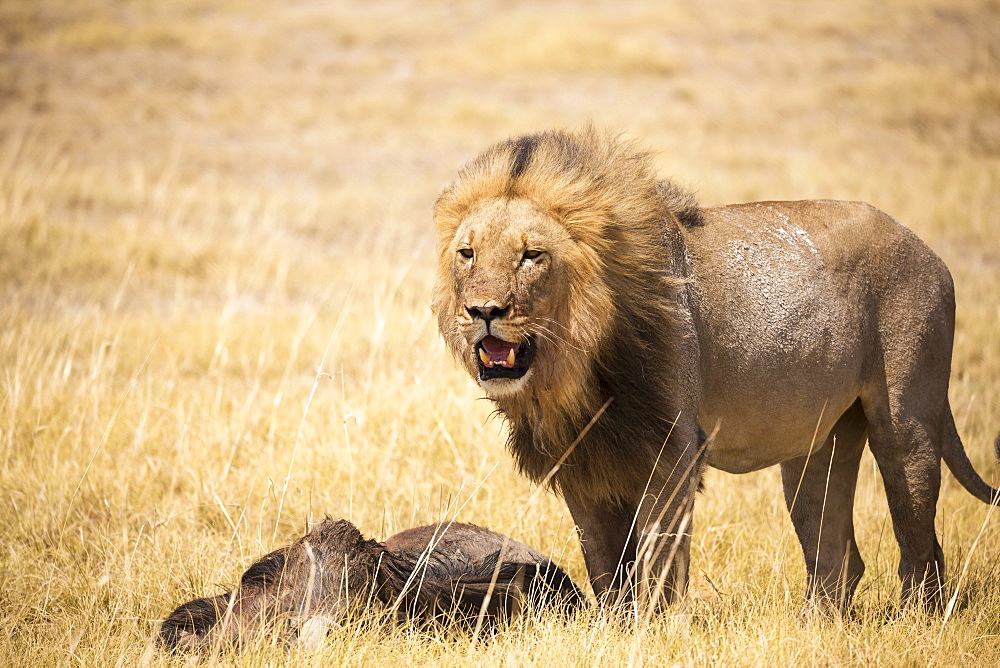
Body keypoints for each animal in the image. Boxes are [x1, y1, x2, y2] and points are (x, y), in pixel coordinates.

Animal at [432, 128, 1000, 612]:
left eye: (532, 255)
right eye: (468, 253)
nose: (483, 311)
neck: (575, 369)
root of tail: (927, 249)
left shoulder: (672, 450)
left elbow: (657, 557)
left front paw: (654, 630)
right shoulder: (583, 460)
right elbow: (604, 564)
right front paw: (614, 628)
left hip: (905, 422)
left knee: (920, 541)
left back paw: (917, 619)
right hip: (819, 443)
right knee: (838, 555)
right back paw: (813, 627)